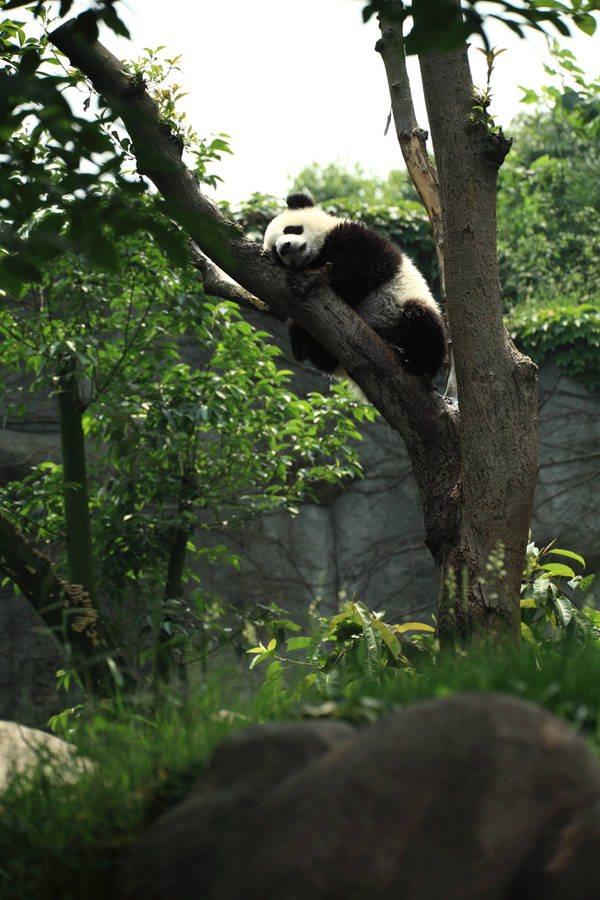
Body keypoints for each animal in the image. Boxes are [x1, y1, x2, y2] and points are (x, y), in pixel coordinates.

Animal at [263, 192, 446, 386]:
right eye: (275, 250)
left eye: (291, 229)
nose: (284, 247)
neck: (315, 257)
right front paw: (296, 333)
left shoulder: (359, 239)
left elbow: (360, 270)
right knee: (323, 360)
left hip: (403, 306)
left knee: (425, 328)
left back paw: (409, 358)